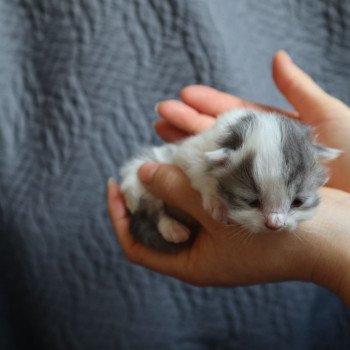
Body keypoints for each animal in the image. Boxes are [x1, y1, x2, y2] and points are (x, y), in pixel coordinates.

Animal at [119, 108, 340, 252]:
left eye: (297, 202)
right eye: (251, 202)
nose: (275, 225)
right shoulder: (189, 150)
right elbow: (196, 168)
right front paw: (216, 202)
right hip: (138, 181)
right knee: (152, 209)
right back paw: (172, 228)